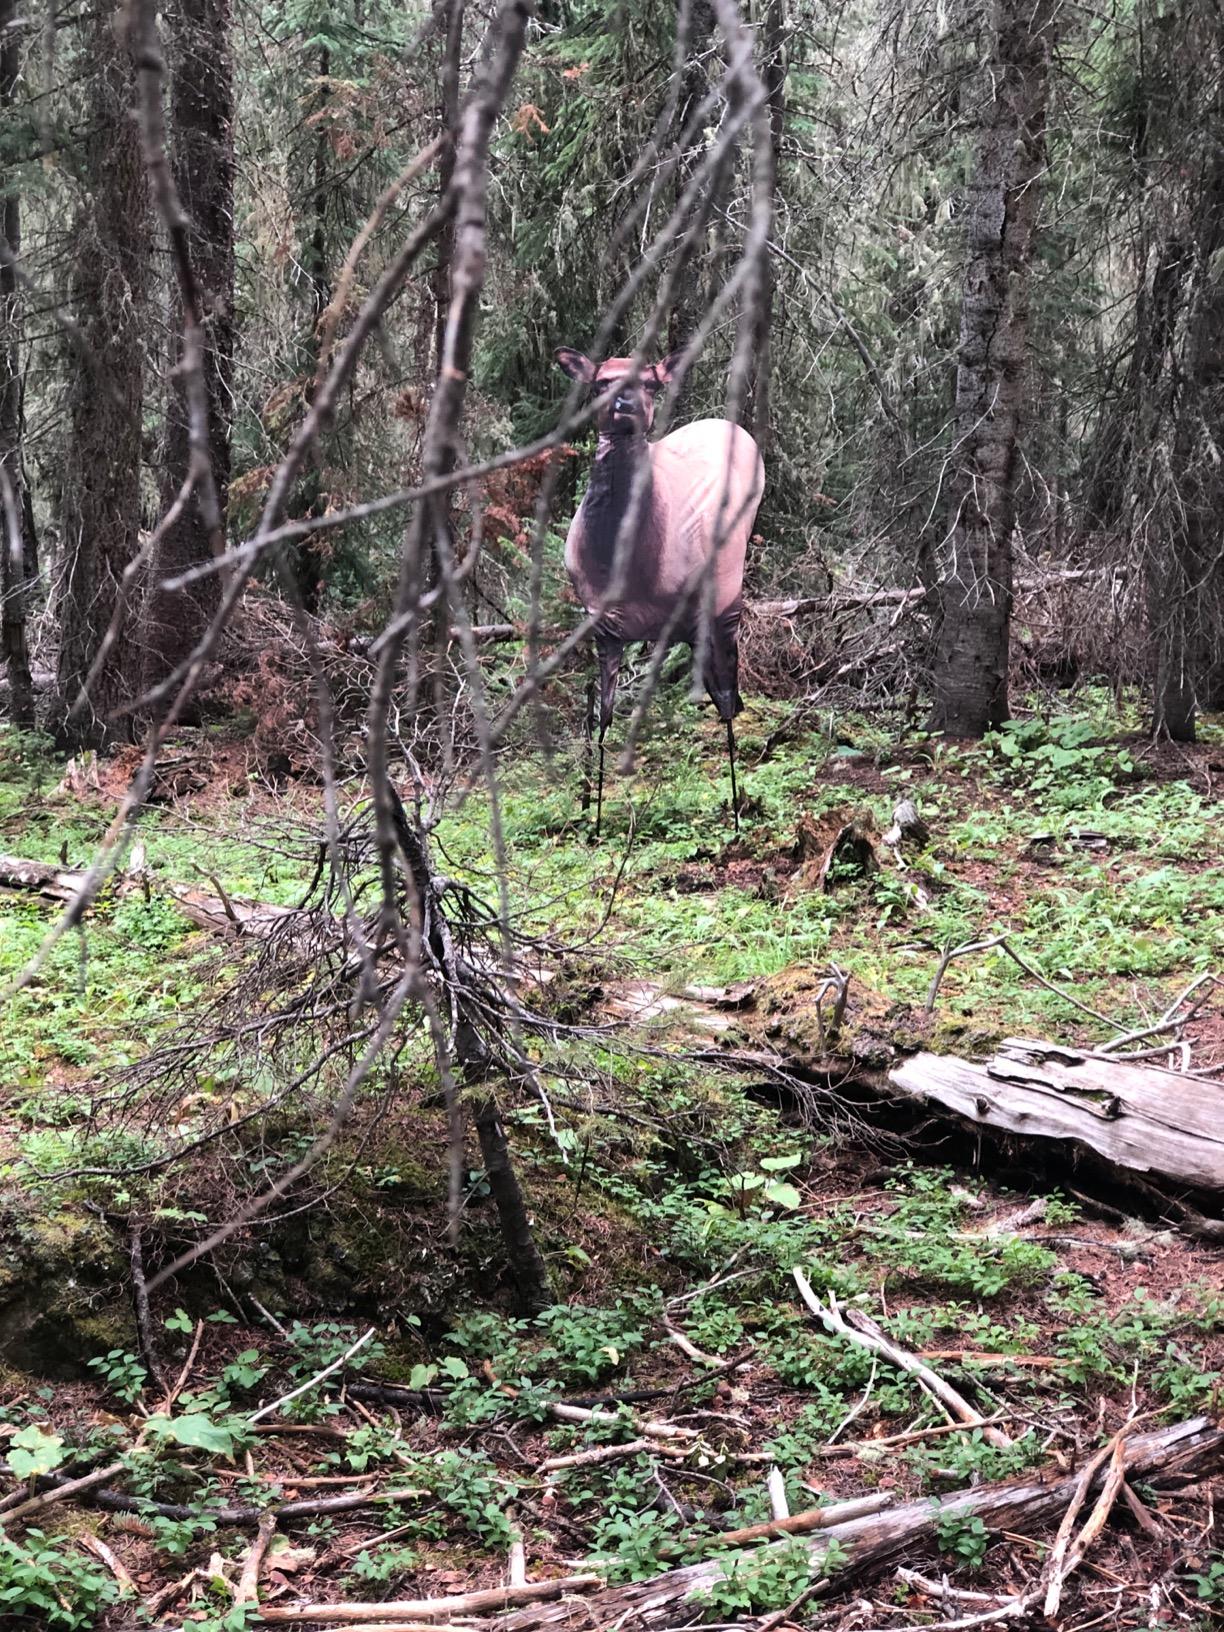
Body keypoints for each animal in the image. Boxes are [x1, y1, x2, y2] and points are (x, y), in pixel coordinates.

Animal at [555, 347, 765, 837]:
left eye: (650, 383)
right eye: (601, 382)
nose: (625, 405)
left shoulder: (707, 611)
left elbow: (724, 703)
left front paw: (736, 817)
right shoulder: (605, 625)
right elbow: (604, 719)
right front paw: (594, 820)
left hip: (727, 592)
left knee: (729, 694)